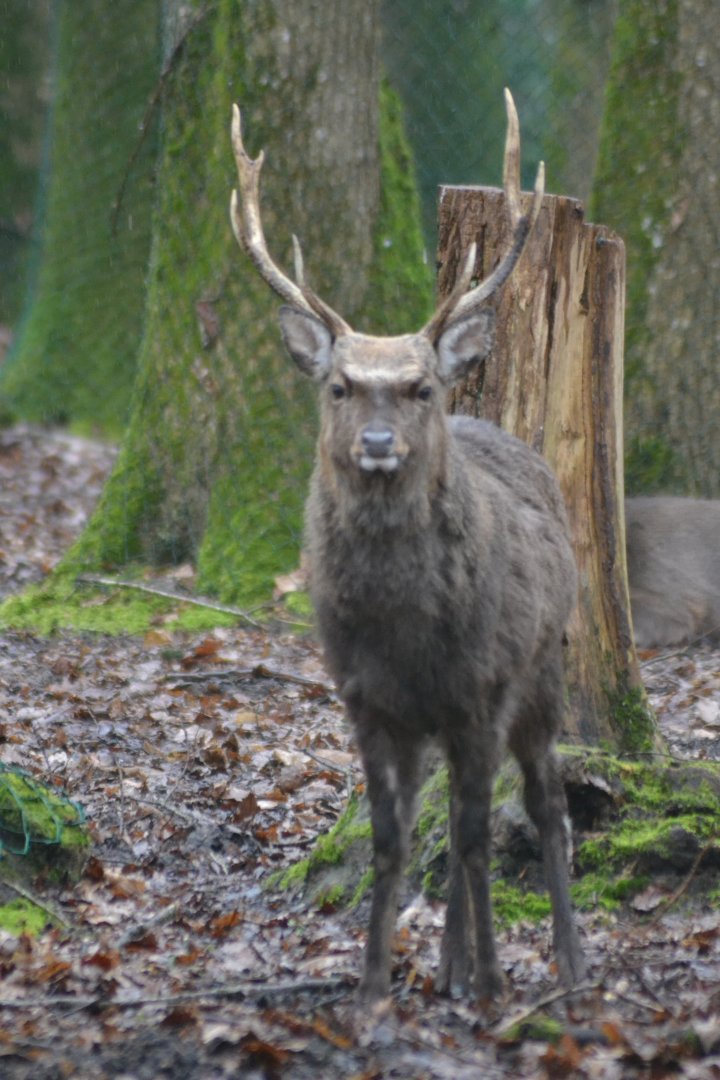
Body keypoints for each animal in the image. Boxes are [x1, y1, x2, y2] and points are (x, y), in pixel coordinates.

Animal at [229, 90, 586, 1003]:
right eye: (339, 385)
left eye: (420, 386)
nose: (380, 443)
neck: (402, 627)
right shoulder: (366, 698)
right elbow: (395, 840)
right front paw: (370, 988)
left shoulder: (481, 688)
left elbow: (479, 836)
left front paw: (494, 985)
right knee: (448, 819)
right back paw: (450, 964)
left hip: (542, 670)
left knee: (544, 807)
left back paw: (565, 964)